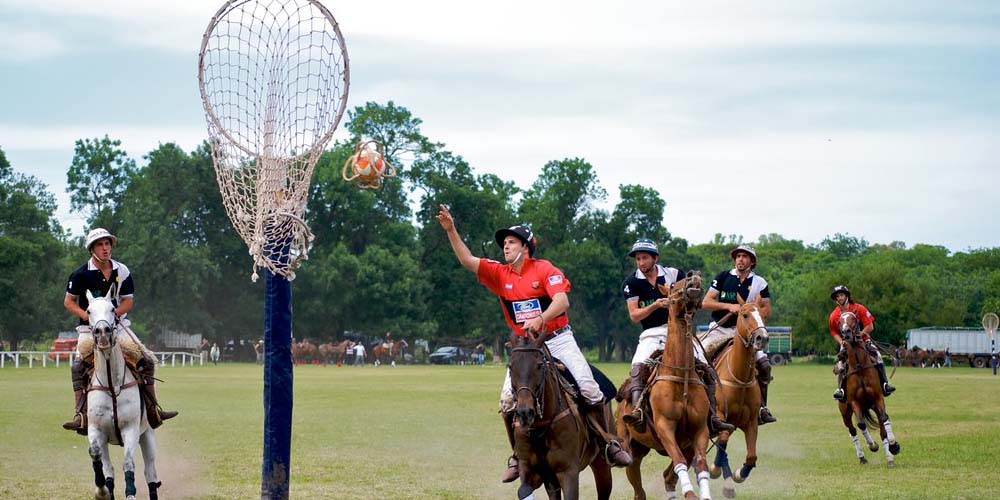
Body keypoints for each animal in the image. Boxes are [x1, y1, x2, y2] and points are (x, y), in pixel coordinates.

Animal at [84, 289, 160, 500]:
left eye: (112, 308)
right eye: (88, 310)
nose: (102, 332)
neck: (111, 384)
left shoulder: (131, 429)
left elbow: (128, 463)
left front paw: (130, 493)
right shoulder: (96, 429)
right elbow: (96, 455)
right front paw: (101, 491)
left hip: (147, 433)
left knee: (150, 471)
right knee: (108, 467)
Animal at [508, 334, 612, 500]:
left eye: (539, 365)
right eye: (510, 367)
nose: (525, 412)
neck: (541, 426)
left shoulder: (568, 472)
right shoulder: (531, 469)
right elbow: (523, 490)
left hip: (601, 462)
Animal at [707, 297, 768, 499]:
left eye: (763, 314)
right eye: (745, 314)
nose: (762, 338)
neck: (740, 377)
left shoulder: (751, 422)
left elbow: (751, 455)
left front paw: (739, 474)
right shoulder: (721, 416)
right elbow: (723, 443)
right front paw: (714, 470)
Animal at [837, 312, 900, 466]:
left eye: (854, 319)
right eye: (839, 321)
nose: (846, 332)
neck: (859, 366)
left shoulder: (878, 399)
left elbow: (884, 419)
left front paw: (894, 446)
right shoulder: (855, 402)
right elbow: (861, 424)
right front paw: (873, 445)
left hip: (872, 406)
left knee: (883, 429)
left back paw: (890, 458)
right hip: (845, 411)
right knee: (852, 430)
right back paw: (862, 457)